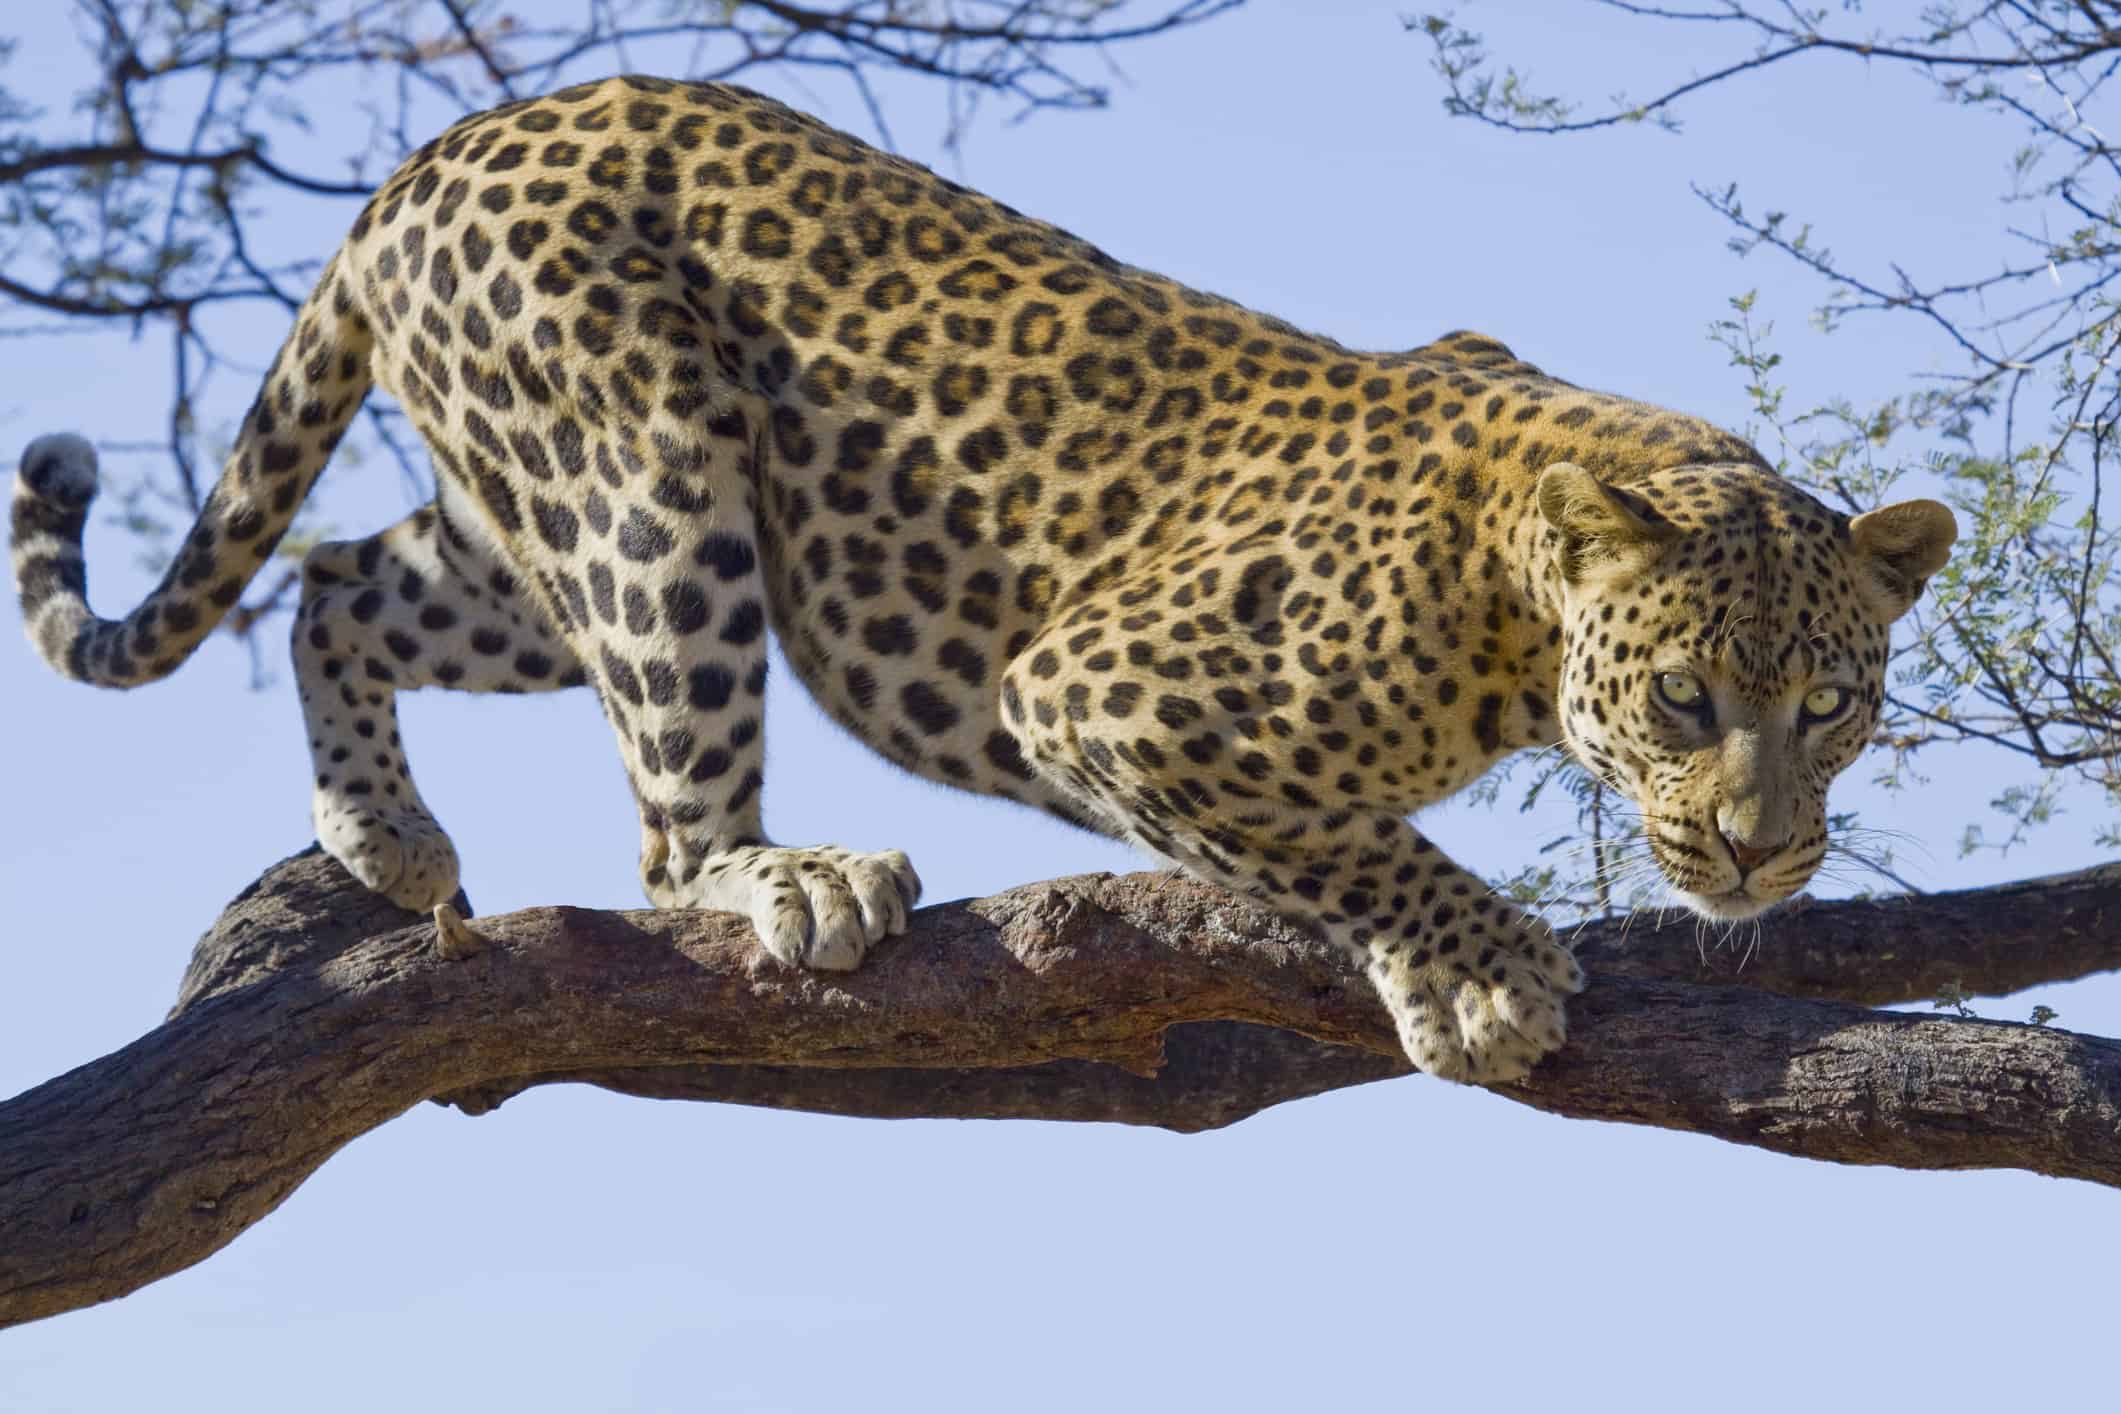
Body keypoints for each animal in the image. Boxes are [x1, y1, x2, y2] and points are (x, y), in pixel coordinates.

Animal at [8, 74, 1951, 1085]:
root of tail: (433, 149)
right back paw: (791, 876)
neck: (1512, 606)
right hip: (654, 480)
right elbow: (1349, 834)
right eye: (1683, 696)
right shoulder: (1102, 689)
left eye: (1833, 703)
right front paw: (1472, 971)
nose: (1759, 852)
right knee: (667, 835)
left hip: (531, 525)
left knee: (337, 577)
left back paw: (385, 834)